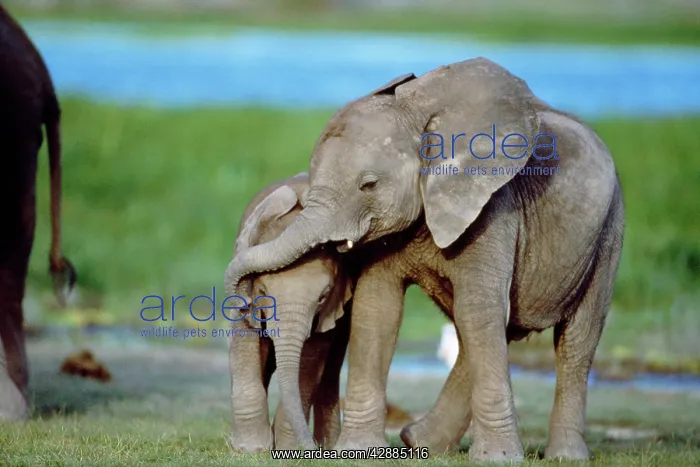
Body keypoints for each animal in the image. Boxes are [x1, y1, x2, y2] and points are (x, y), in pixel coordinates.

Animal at [227, 173, 354, 452]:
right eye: (262, 290)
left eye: (322, 297)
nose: (312, 451)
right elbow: (245, 344)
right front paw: (250, 450)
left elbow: (311, 360)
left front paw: (289, 448)